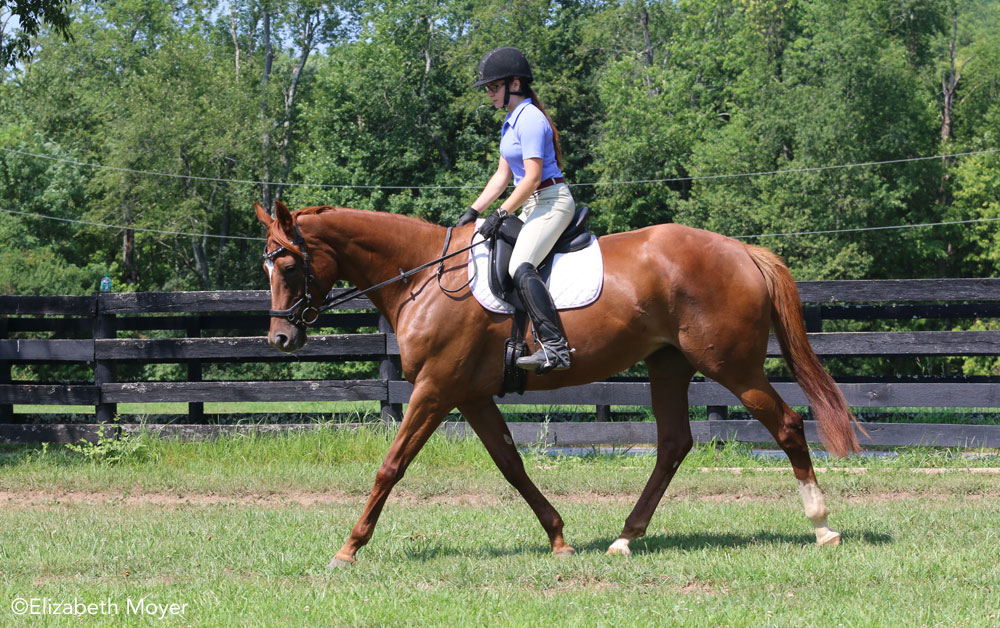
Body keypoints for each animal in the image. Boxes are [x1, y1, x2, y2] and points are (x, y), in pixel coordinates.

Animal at [254, 202, 864, 568]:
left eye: (288, 266)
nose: (280, 338)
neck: (424, 275)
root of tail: (741, 250)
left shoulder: (437, 388)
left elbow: (392, 465)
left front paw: (348, 548)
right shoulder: (470, 395)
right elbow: (511, 465)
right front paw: (559, 538)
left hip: (732, 367)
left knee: (787, 425)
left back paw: (823, 527)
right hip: (668, 364)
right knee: (673, 444)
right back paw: (625, 537)